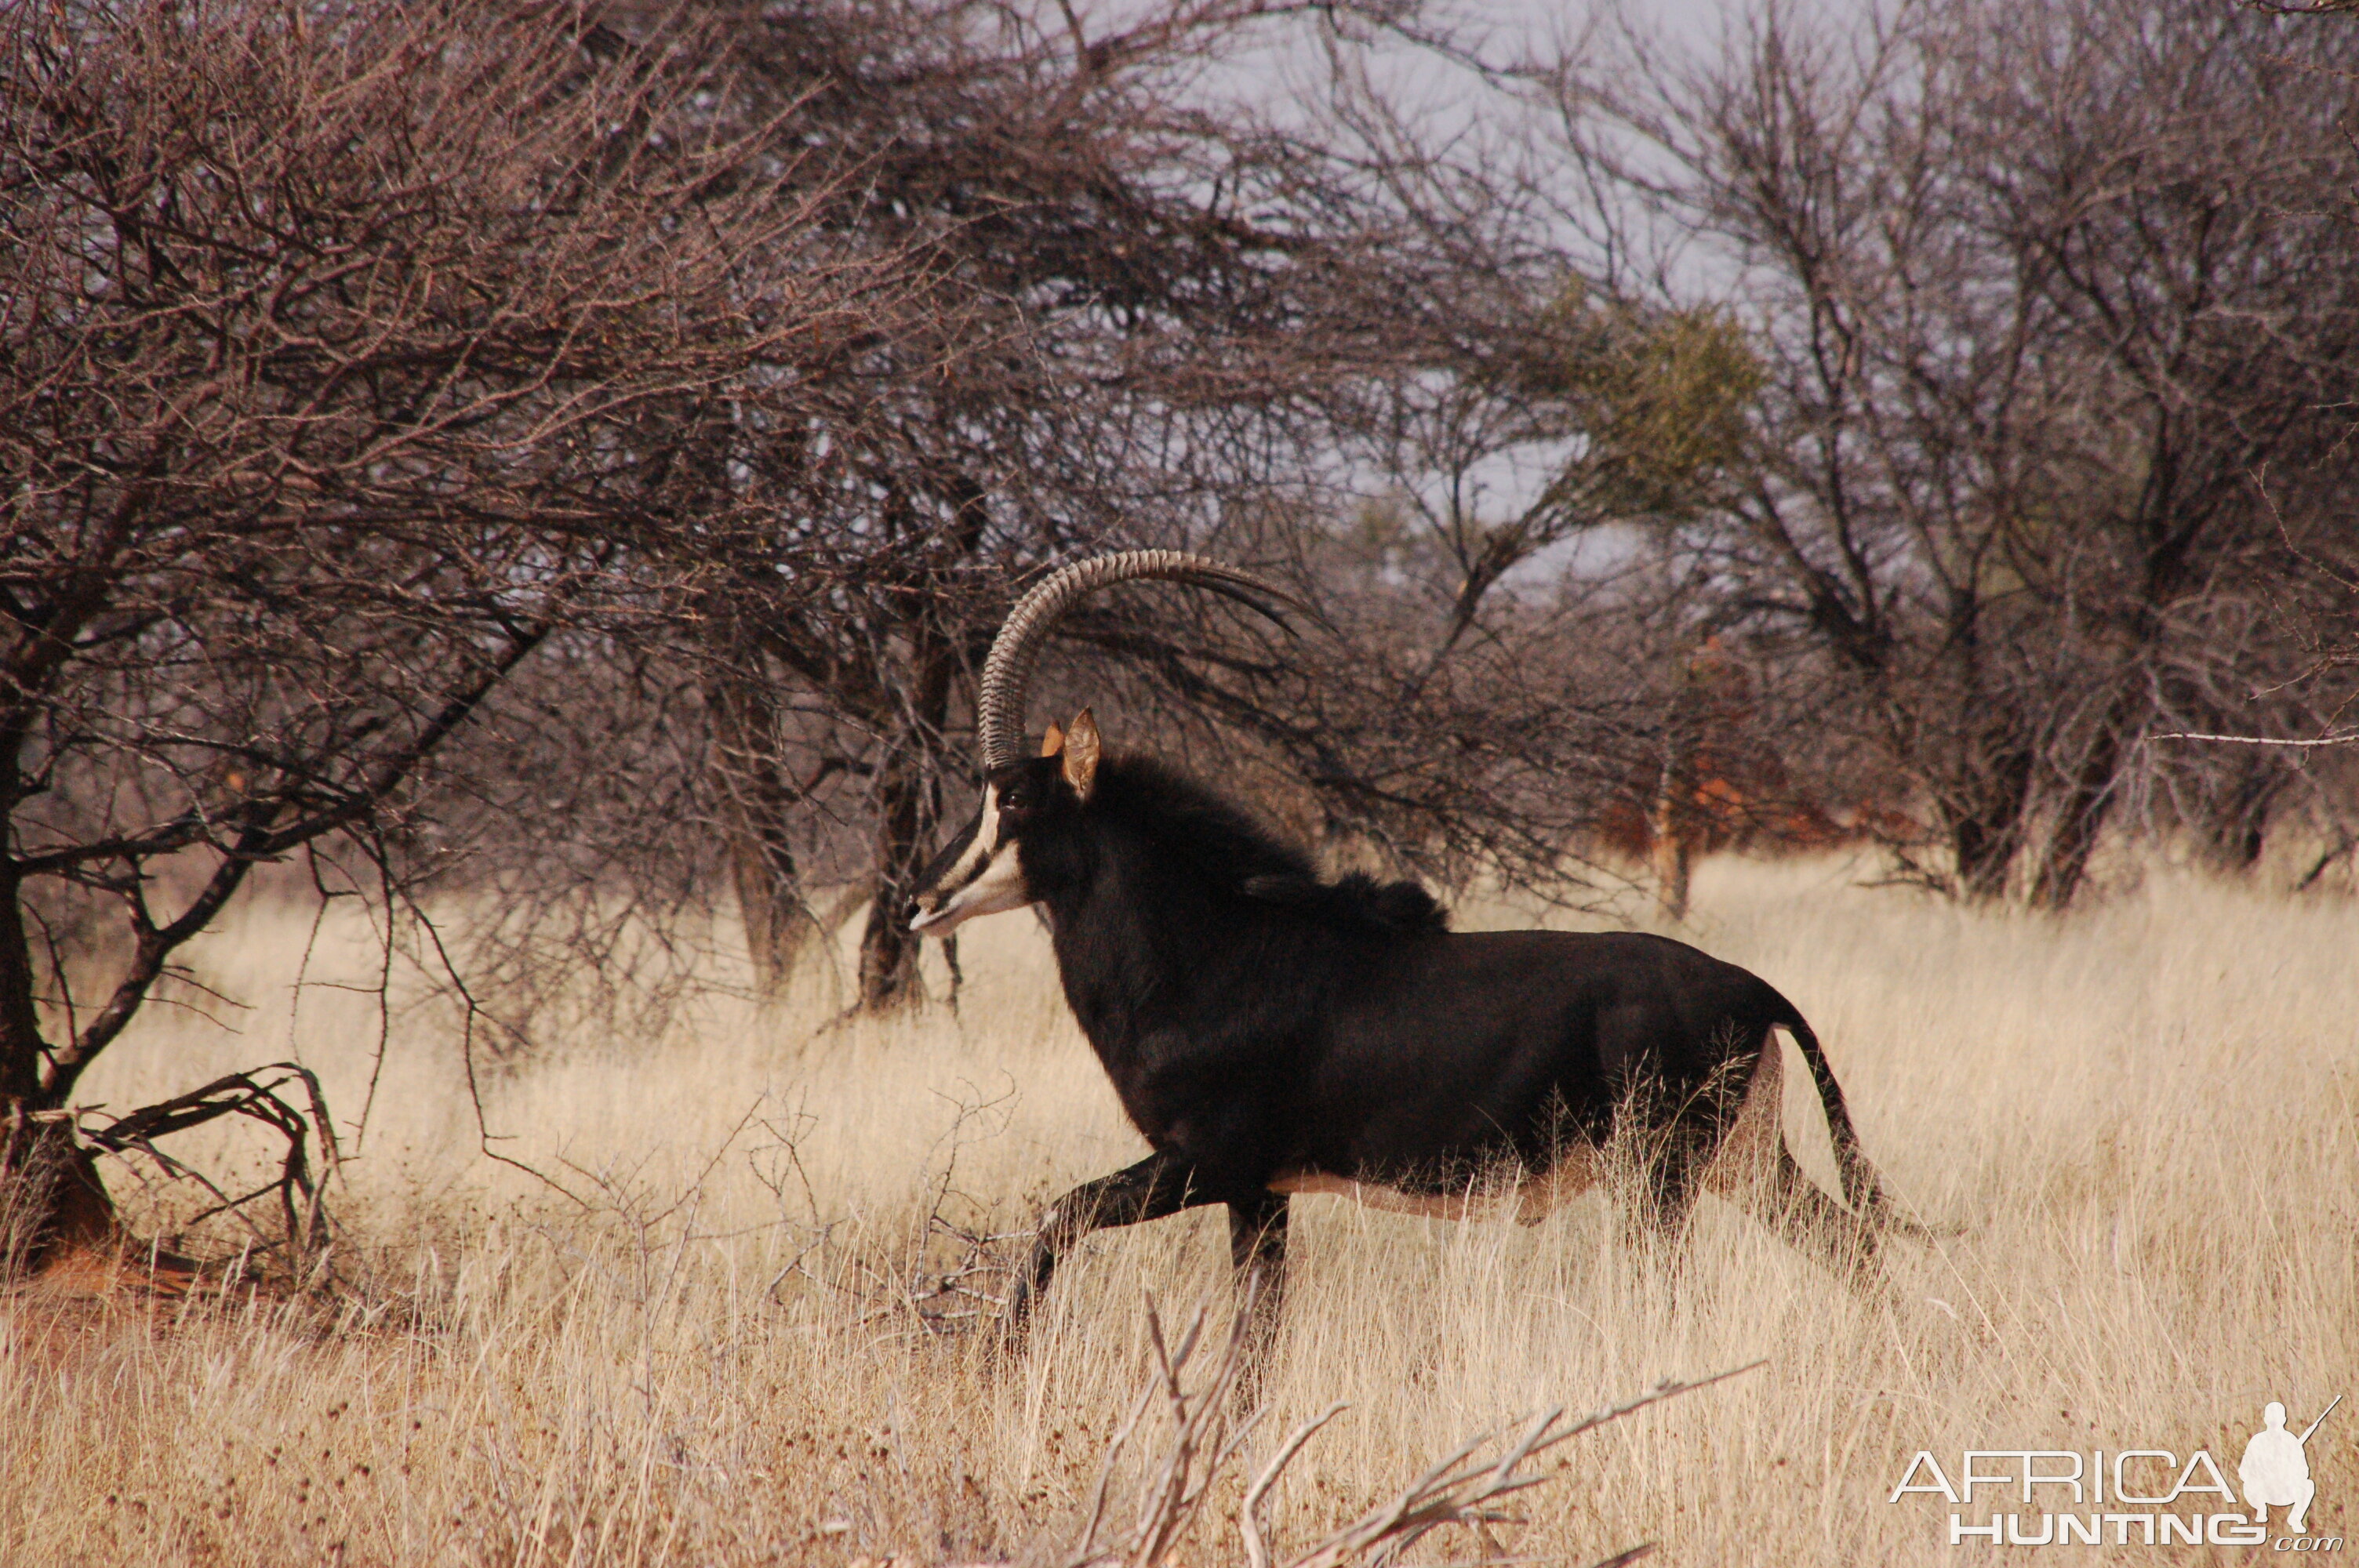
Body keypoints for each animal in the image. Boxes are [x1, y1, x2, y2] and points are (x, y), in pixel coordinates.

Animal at [911, 549, 1906, 1348]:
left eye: (1014, 799)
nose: (921, 897)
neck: (1209, 951)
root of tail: (1752, 987)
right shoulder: (1258, 1191)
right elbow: (1253, 1336)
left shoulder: (1204, 1162)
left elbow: (1058, 1214)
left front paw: (1005, 1355)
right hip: (1743, 1163)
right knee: (1850, 1244)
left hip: (1657, 1176)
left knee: (1681, 1284)